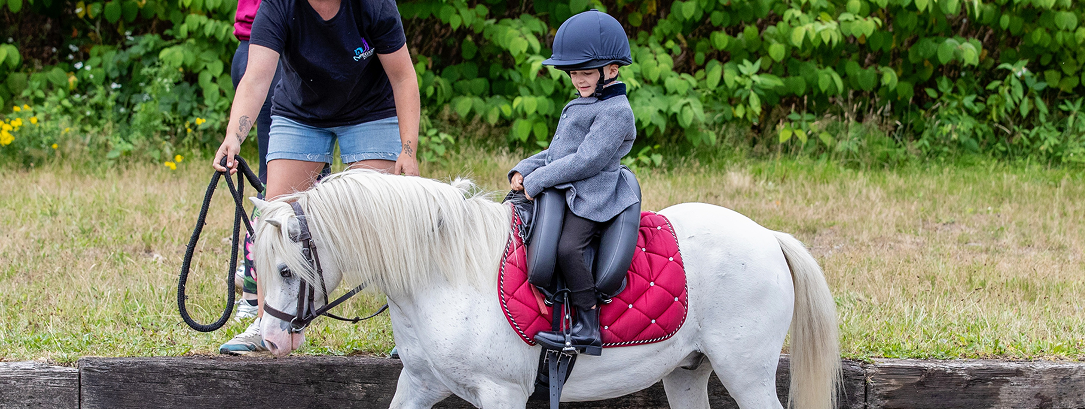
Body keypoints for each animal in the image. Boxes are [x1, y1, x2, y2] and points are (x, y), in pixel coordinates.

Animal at [249, 170, 841, 409]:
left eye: (286, 271)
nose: (272, 342)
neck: (442, 272)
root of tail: (769, 238)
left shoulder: (502, 393)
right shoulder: (420, 383)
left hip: (747, 374)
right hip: (687, 371)